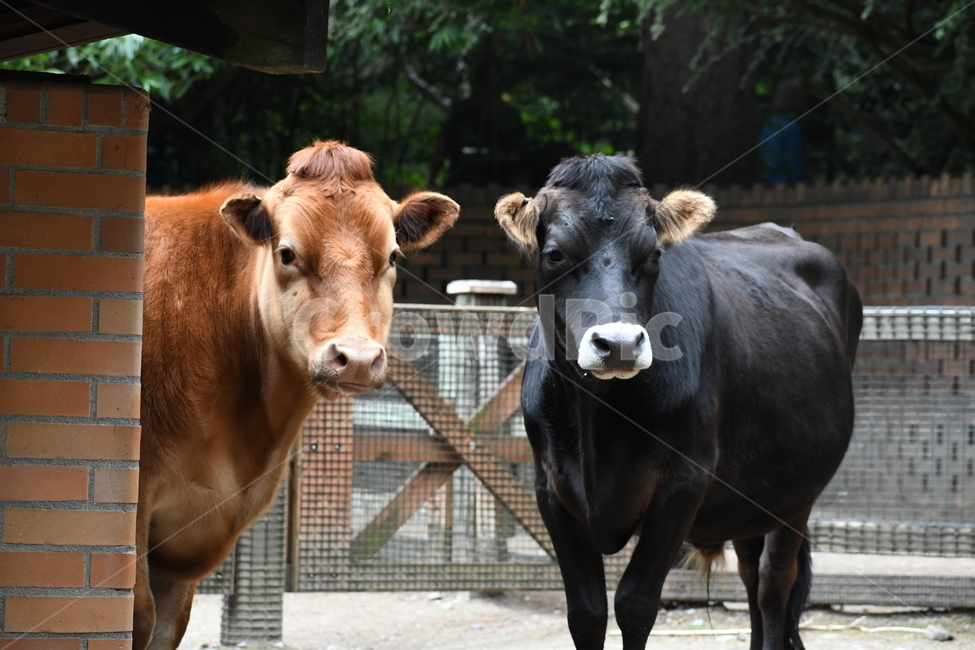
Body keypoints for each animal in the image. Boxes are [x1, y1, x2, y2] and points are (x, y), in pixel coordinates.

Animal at [494, 154, 861, 650]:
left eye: (653, 254)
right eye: (554, 254)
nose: (620, 344)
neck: (598, 416)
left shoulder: (684, 483)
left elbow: (634, 603)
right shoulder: (550, 489)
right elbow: (586, 612)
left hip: (799, 493)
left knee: (772, 585)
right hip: (752, 494)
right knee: (751, 576)